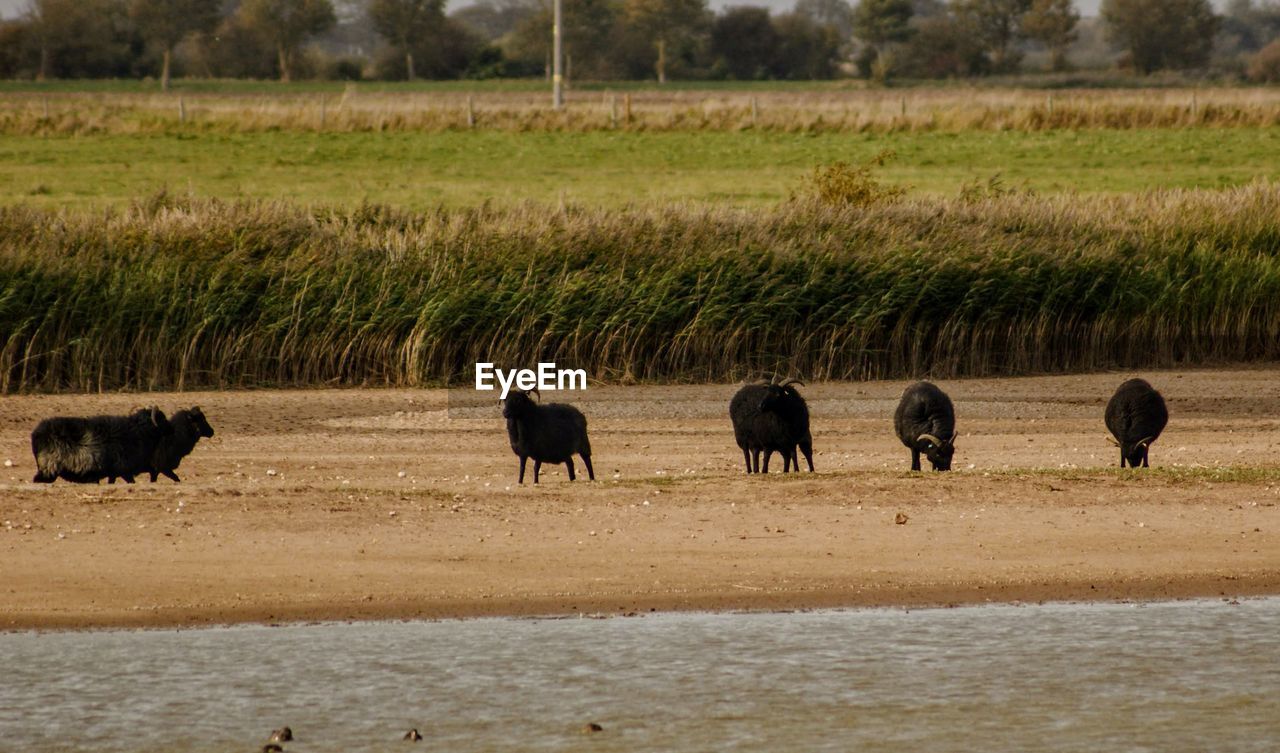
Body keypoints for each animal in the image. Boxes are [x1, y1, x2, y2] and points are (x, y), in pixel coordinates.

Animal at [30, 409, 175, 484]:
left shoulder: (114, 473)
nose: (172, 429)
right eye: (162, 419)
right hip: (49, 469)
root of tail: (36, 434)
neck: (138, 432)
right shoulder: (124, 470)